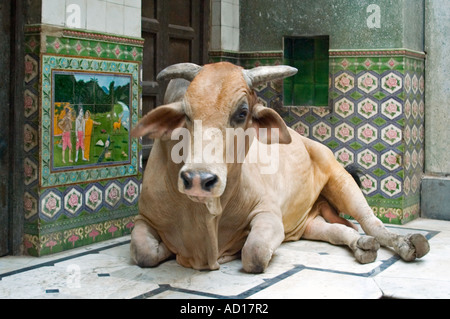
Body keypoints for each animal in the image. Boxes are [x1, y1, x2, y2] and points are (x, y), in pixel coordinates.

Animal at [130, 63, 428, 276]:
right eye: (187, 114)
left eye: (242, 113)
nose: (197, 179)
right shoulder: (144, 217)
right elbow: (145, 253)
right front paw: (166, 251)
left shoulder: (267, 213)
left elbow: (255, 253)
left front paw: (236, 250)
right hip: (308, 223)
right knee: (340, 230)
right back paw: (362, 246)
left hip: (341, 180)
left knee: (371, 223)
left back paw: (408, 244)